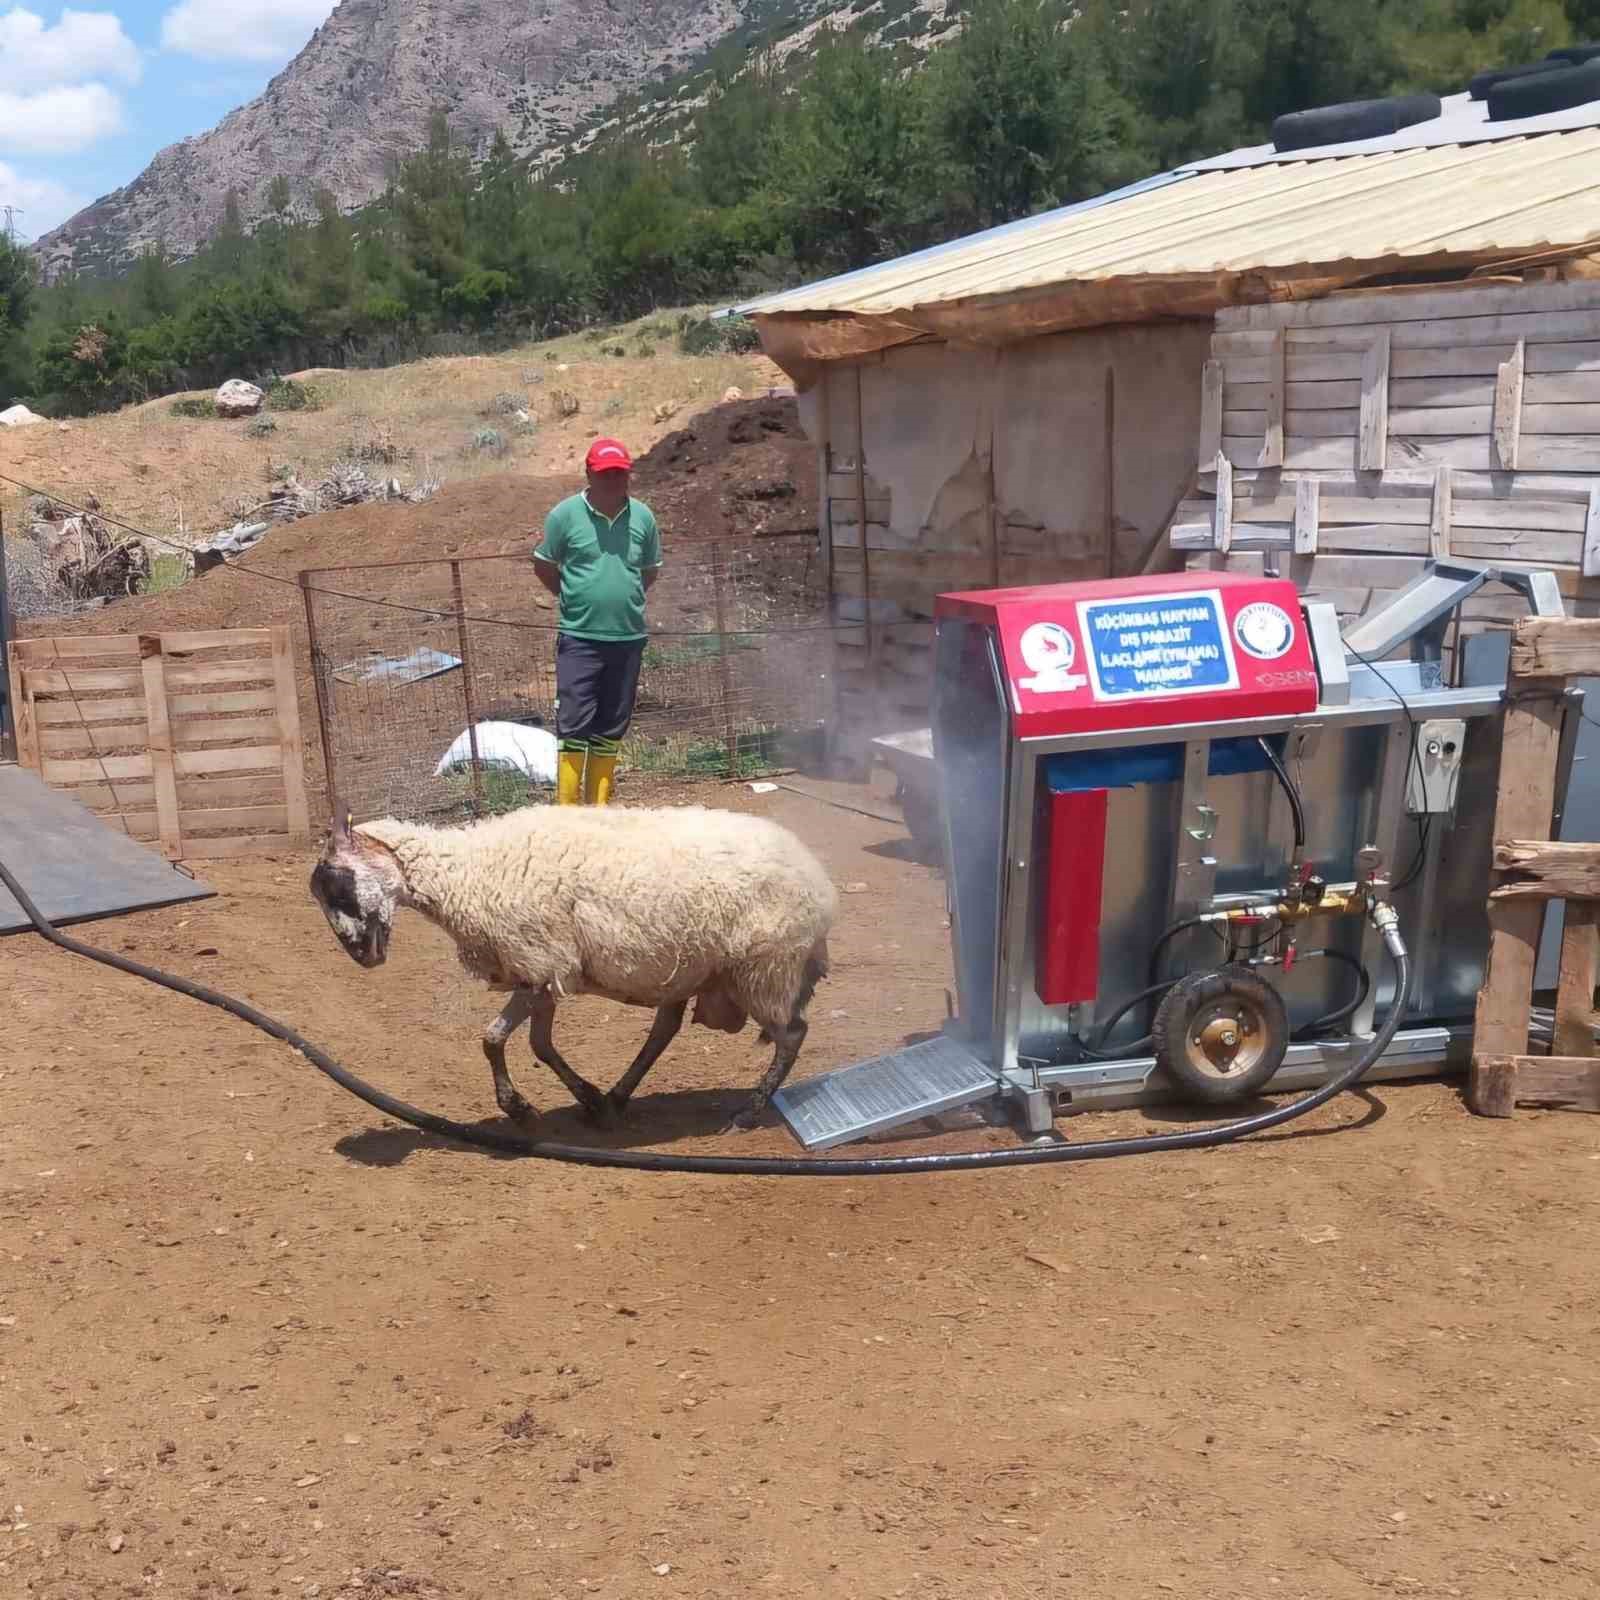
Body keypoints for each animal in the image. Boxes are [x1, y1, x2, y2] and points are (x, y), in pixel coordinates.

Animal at [305, 806, 844, 1132]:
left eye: (338, 885)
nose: (360, 955)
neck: (464, 871)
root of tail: (819, 883)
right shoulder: (544, 974)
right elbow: (539, 1046)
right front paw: (585, 1096)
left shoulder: (538, 962)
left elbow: (492, 1040)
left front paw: (518, 1108)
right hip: (695, 970)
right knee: (665, 1029)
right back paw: (618, 1097)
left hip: (765, 968)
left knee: (792, 1034)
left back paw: (748, 1113)